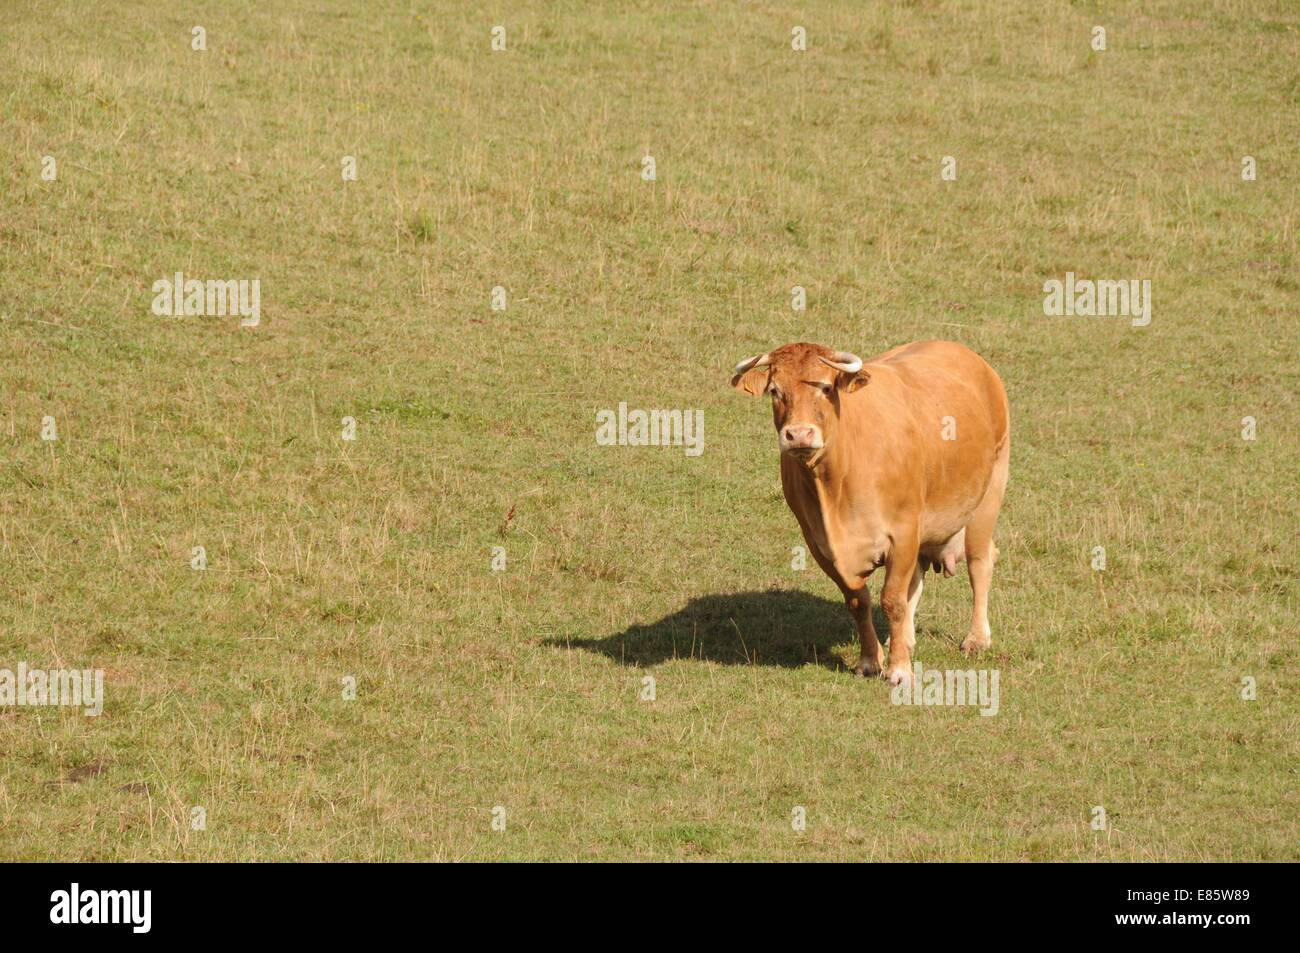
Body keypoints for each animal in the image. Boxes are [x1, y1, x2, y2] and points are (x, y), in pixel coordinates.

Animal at [730, 341, 1010, 684]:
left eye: (825, 387)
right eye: (774, 391)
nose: (798, 434)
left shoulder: (903, 532)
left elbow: (892, 599)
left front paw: (900, 669)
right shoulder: (820, 544)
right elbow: (858, 601)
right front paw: (870, 659)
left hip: (989, 494)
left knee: (980, 562)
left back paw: (977, 638)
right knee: (916, 580)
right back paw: (904, 639)